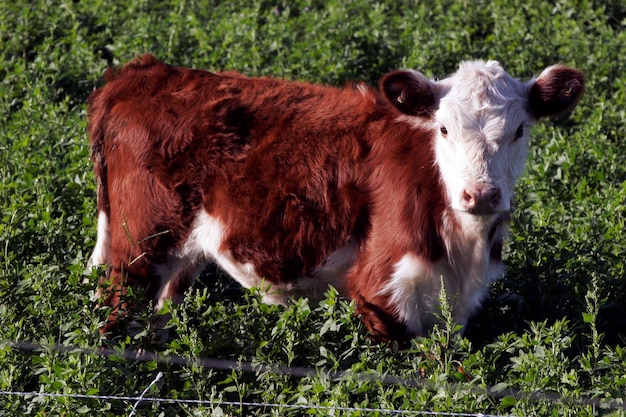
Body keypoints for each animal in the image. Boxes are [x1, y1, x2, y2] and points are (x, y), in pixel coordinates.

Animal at [85, 54, 584, 342]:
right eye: (443, 129)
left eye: (519, 131)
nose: (480, 194)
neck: (464, 247)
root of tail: (139, 74)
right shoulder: (380, 290)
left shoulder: (455, 305)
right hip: (137, 248)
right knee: (114, 317)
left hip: (175, 258)